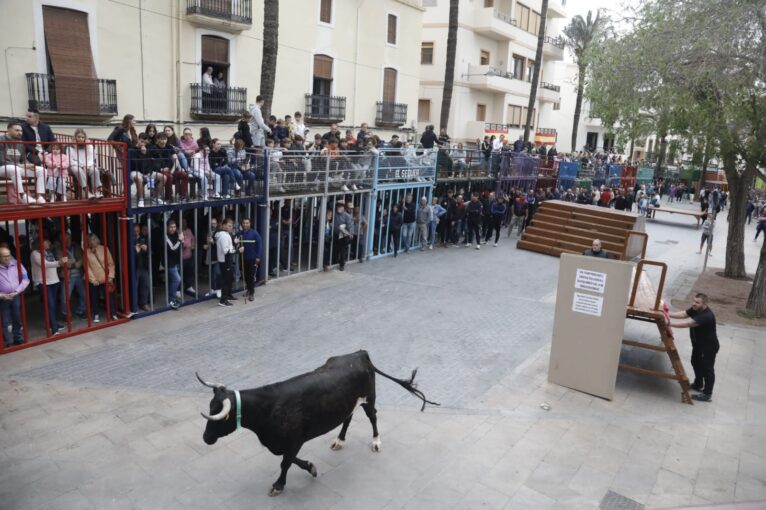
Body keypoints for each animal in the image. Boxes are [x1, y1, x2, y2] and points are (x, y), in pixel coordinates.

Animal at [195, 348, 440, 496]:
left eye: (220, 415)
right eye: (210, 407)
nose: (206, 438)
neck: (268, 408)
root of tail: (360, 353)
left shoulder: (295, 440)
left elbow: (286, 462)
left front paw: (279, 485)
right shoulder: (284, 444)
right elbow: (291, 460)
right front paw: (310, 467)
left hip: (369, 397)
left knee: (373, 417)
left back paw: (376, 442)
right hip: (349, 403)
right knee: (348, 418)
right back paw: (339, 441)